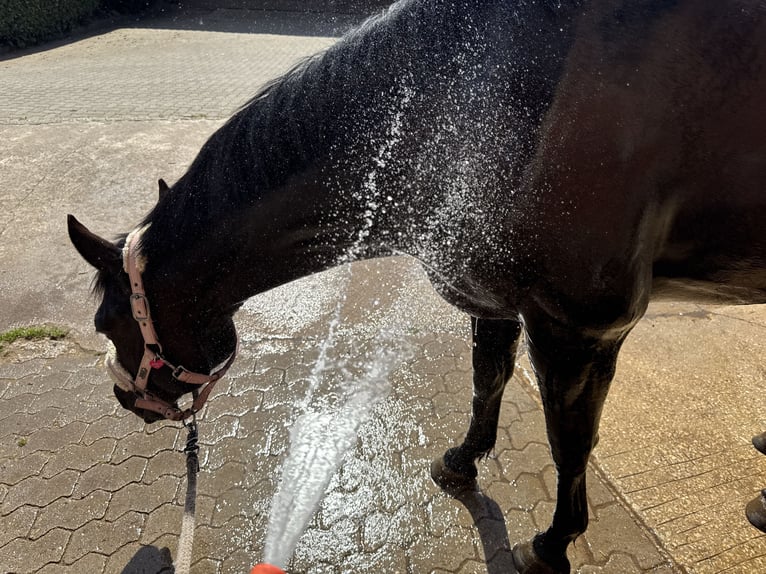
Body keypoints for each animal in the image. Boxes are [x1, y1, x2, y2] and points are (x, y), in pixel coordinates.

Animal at [67, 0, 766, 572]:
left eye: (107, 324)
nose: (126, 398)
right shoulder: (494, 300)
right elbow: (488, 384)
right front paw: (461, 462)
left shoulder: (580, 333)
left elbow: (570, 441)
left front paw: (553, 544)